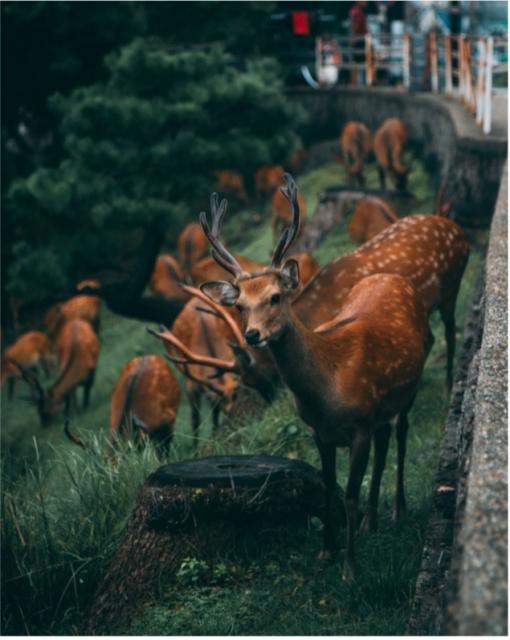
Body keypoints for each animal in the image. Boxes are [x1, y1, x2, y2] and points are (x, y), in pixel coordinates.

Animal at [150, 175, 426, 580]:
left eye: (276, 296)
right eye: (240, 305)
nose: (252, 335)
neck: (329, 387)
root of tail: (392, 277)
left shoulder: (359, 424)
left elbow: (349, 494)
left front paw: (350, 568)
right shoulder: (320, 431)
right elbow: (327, 487)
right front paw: (326, 551)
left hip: (409, 387)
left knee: (403, 435)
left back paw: (398, 509)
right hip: (382, 408)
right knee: (385, 443)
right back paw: (370, 522)